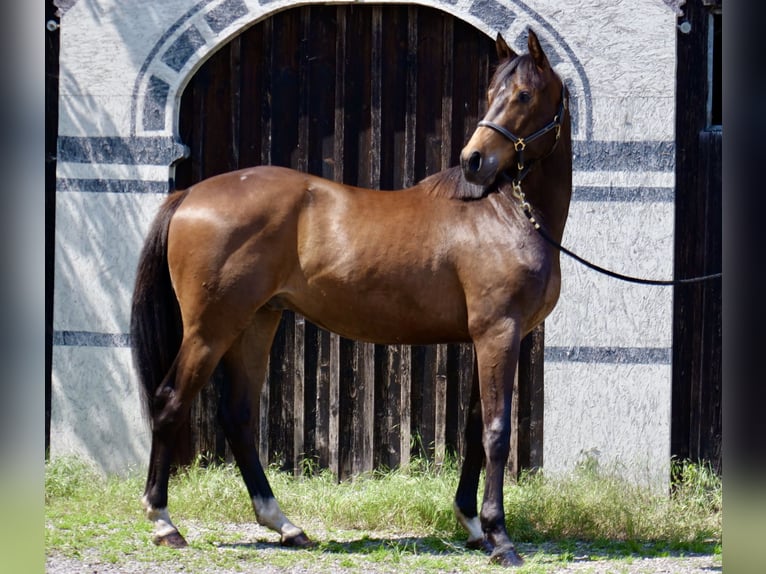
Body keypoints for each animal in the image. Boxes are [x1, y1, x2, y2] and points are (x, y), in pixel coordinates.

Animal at [134, 30, 568, 568]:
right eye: (492, 94)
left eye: (524, 95)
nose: (474, 161)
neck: (505, 213)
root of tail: (191, 194)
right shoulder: (499, 333)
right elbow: (496, 431)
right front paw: (500, 538)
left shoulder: (486, 338)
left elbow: (473, 429)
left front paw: (472, 525)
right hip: (211, 328)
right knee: (170, 401)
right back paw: (164, 522)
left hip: (255, 322)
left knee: (238, 416)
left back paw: (284, 525)